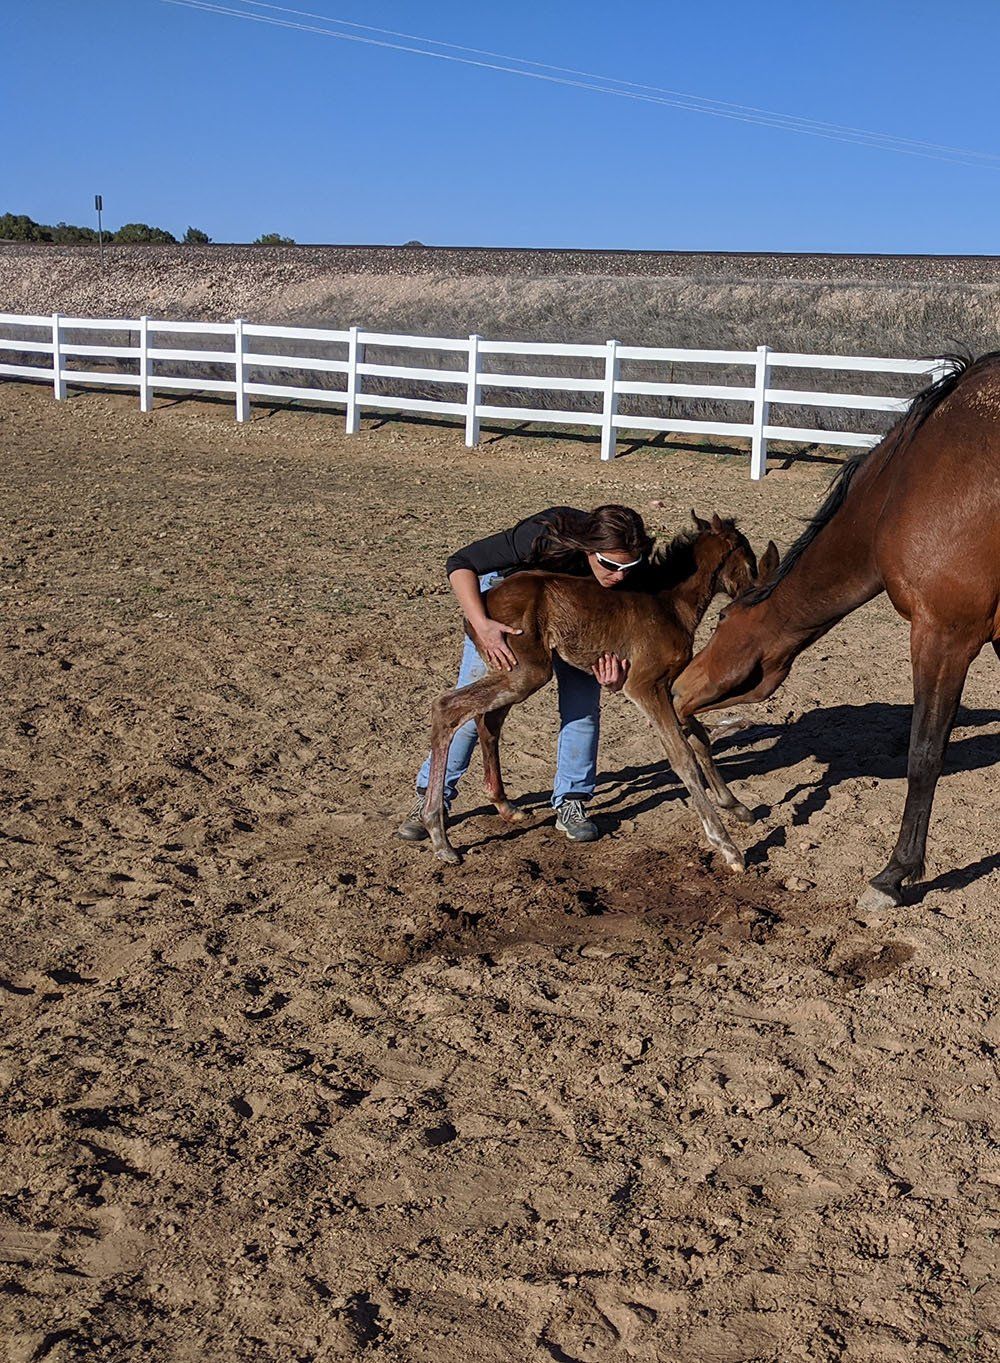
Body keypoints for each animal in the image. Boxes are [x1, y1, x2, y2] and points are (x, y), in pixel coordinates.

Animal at [672, 352, 1000, 911]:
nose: (675, 689)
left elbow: (924, 753)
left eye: (722, 619)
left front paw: (895, 873)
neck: (907, 484)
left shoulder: (944, 634)